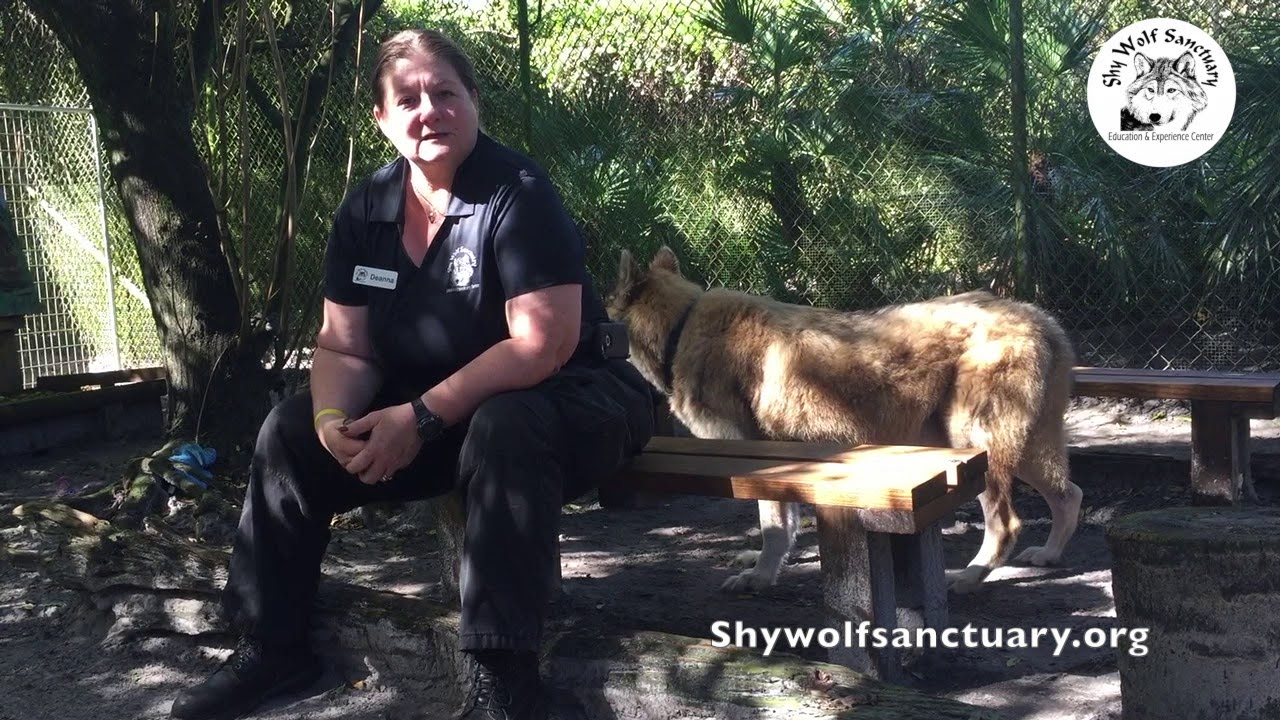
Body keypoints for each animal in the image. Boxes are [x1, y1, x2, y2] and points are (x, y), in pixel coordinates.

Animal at [606, 247, 1083, 594]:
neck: (681, 329)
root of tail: (1040, 317)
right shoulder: (780, 464)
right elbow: (786, 527)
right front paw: (763, 565)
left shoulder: (759, 460)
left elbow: (773, 527)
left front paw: (759, 578)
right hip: (1017, 452)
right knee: (1070, 495)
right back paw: (1049, 555)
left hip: (976, 450)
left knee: (1007, 524)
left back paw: (968, 577)